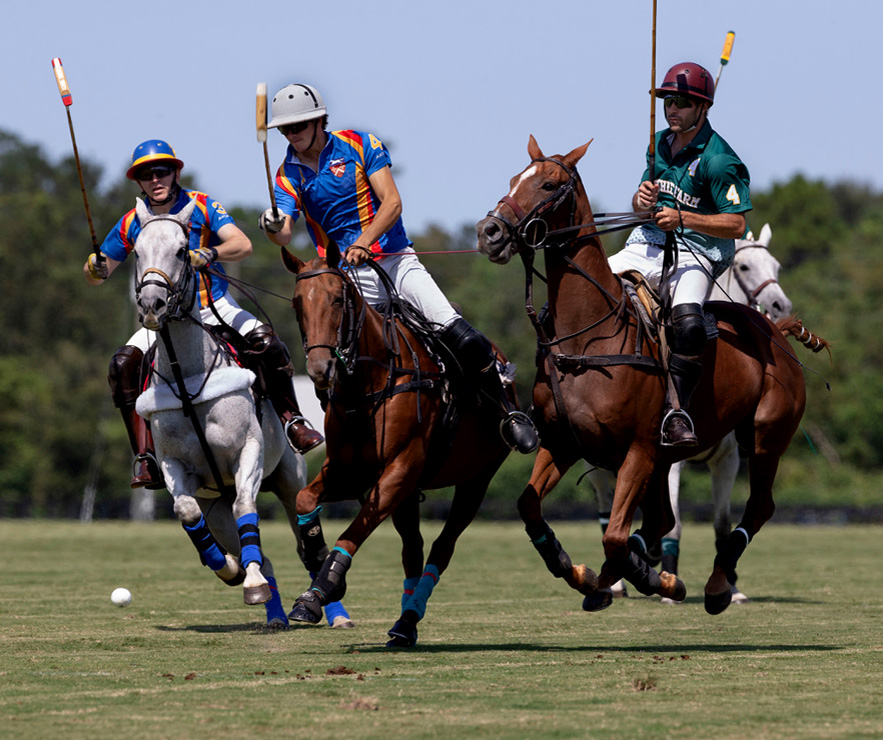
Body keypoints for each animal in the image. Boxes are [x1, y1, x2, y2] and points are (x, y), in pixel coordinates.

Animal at [131, 199, 348, 628]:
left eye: (182, 250)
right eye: (136, 251)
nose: (151, 305)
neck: (187, 381)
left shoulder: (247, 451)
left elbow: (247, 507)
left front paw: (251, 582)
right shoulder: (176, 467)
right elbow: (185, 511)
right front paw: (231, 570)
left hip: (289, 477)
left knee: (304, 544)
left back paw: (331, 612)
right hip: (216, 505)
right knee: (259, 552)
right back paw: (272, 608)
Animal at [280, 244, 516, 648]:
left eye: (338, 297)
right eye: (297, 303)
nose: (320, 369)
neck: (369, 383)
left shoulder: (399, 471)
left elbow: (354, 532)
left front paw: (319, 591)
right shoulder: (348, 472)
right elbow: (304, 499)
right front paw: (315, 557)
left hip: (478, 478)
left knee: (442, 546)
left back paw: (407, 620)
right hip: (410, 494)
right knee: (413, 549)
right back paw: (405, 625)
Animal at [588, 224, 796, 600]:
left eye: (776, 266)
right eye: (744, 267)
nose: (779, 304)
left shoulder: (727, 460)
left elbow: (721, 523)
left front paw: (731, 585)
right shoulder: (672, 459)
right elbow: (675, 524)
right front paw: (665, 577)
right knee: (605, 507)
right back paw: (619, 582)